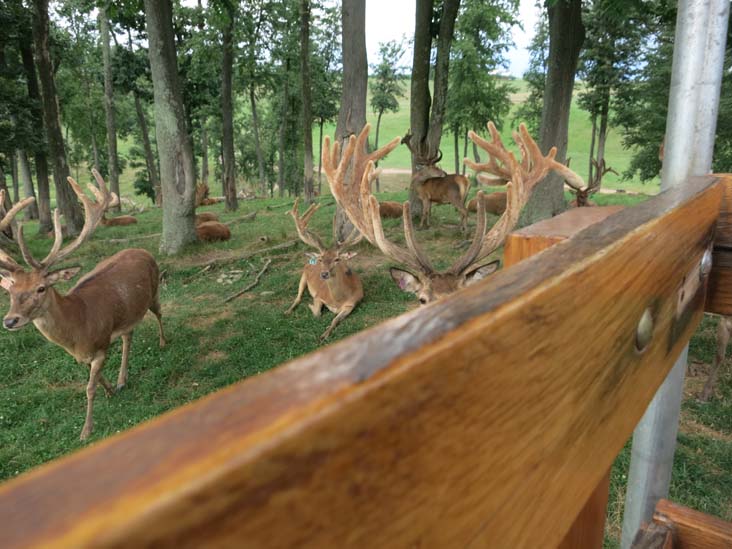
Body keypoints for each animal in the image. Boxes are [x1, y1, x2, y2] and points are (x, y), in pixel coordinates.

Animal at [0, 171, 166, 441]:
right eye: (10, 291)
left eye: (41, 288)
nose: (10, 320)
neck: (78, 329)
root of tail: (143, 250)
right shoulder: (86, 354)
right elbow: (95, 380)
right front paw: (111, 389)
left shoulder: (101, 345)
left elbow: (89, 388)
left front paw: (86, 430)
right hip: (128, 312)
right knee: (128, 334)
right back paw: (122, 378)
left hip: (154, 291)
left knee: (160, 313)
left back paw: (162, 342)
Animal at [285, 198, 363, 341]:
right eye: (321, 259)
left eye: (337, 259)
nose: (324, 274)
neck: (338, 301)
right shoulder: (318, 295)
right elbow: (317, 313)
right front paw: (310, 306)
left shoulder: (352, 304)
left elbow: (335, 320)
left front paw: (324, 334)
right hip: (303, 276)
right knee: (297, 297)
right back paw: (287, 311)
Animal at [324, 122, 568, 304]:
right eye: (422, 299)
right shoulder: (428, 200)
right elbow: (427, 212)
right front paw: (426, 225)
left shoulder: (425, 198)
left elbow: (425, 212)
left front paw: (424, 225)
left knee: (464, 211)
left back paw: (464, 231)